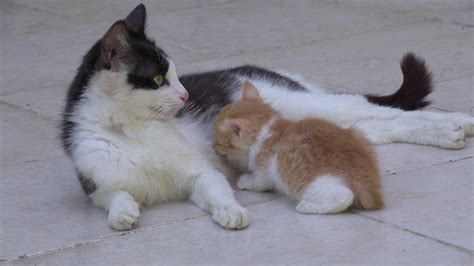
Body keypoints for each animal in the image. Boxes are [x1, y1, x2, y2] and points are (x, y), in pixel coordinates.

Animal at [60, 4, 248, 230]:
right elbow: (115, 194)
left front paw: (231, 210)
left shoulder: (203, 171)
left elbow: (216, 188)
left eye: (175, 74)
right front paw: (122, 212)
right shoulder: (96, 185)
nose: (186, 94)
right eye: (158, 79)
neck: (130, 128)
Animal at [213, 81, 384, 214]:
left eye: (218, 141)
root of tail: (363, 175)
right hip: (358, 135)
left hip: (312, 184)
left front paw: (244, 180)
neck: (266, 128)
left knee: (343, 196)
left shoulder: (264, 171)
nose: (213, 146)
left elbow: (259, 183)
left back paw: (307, 206)